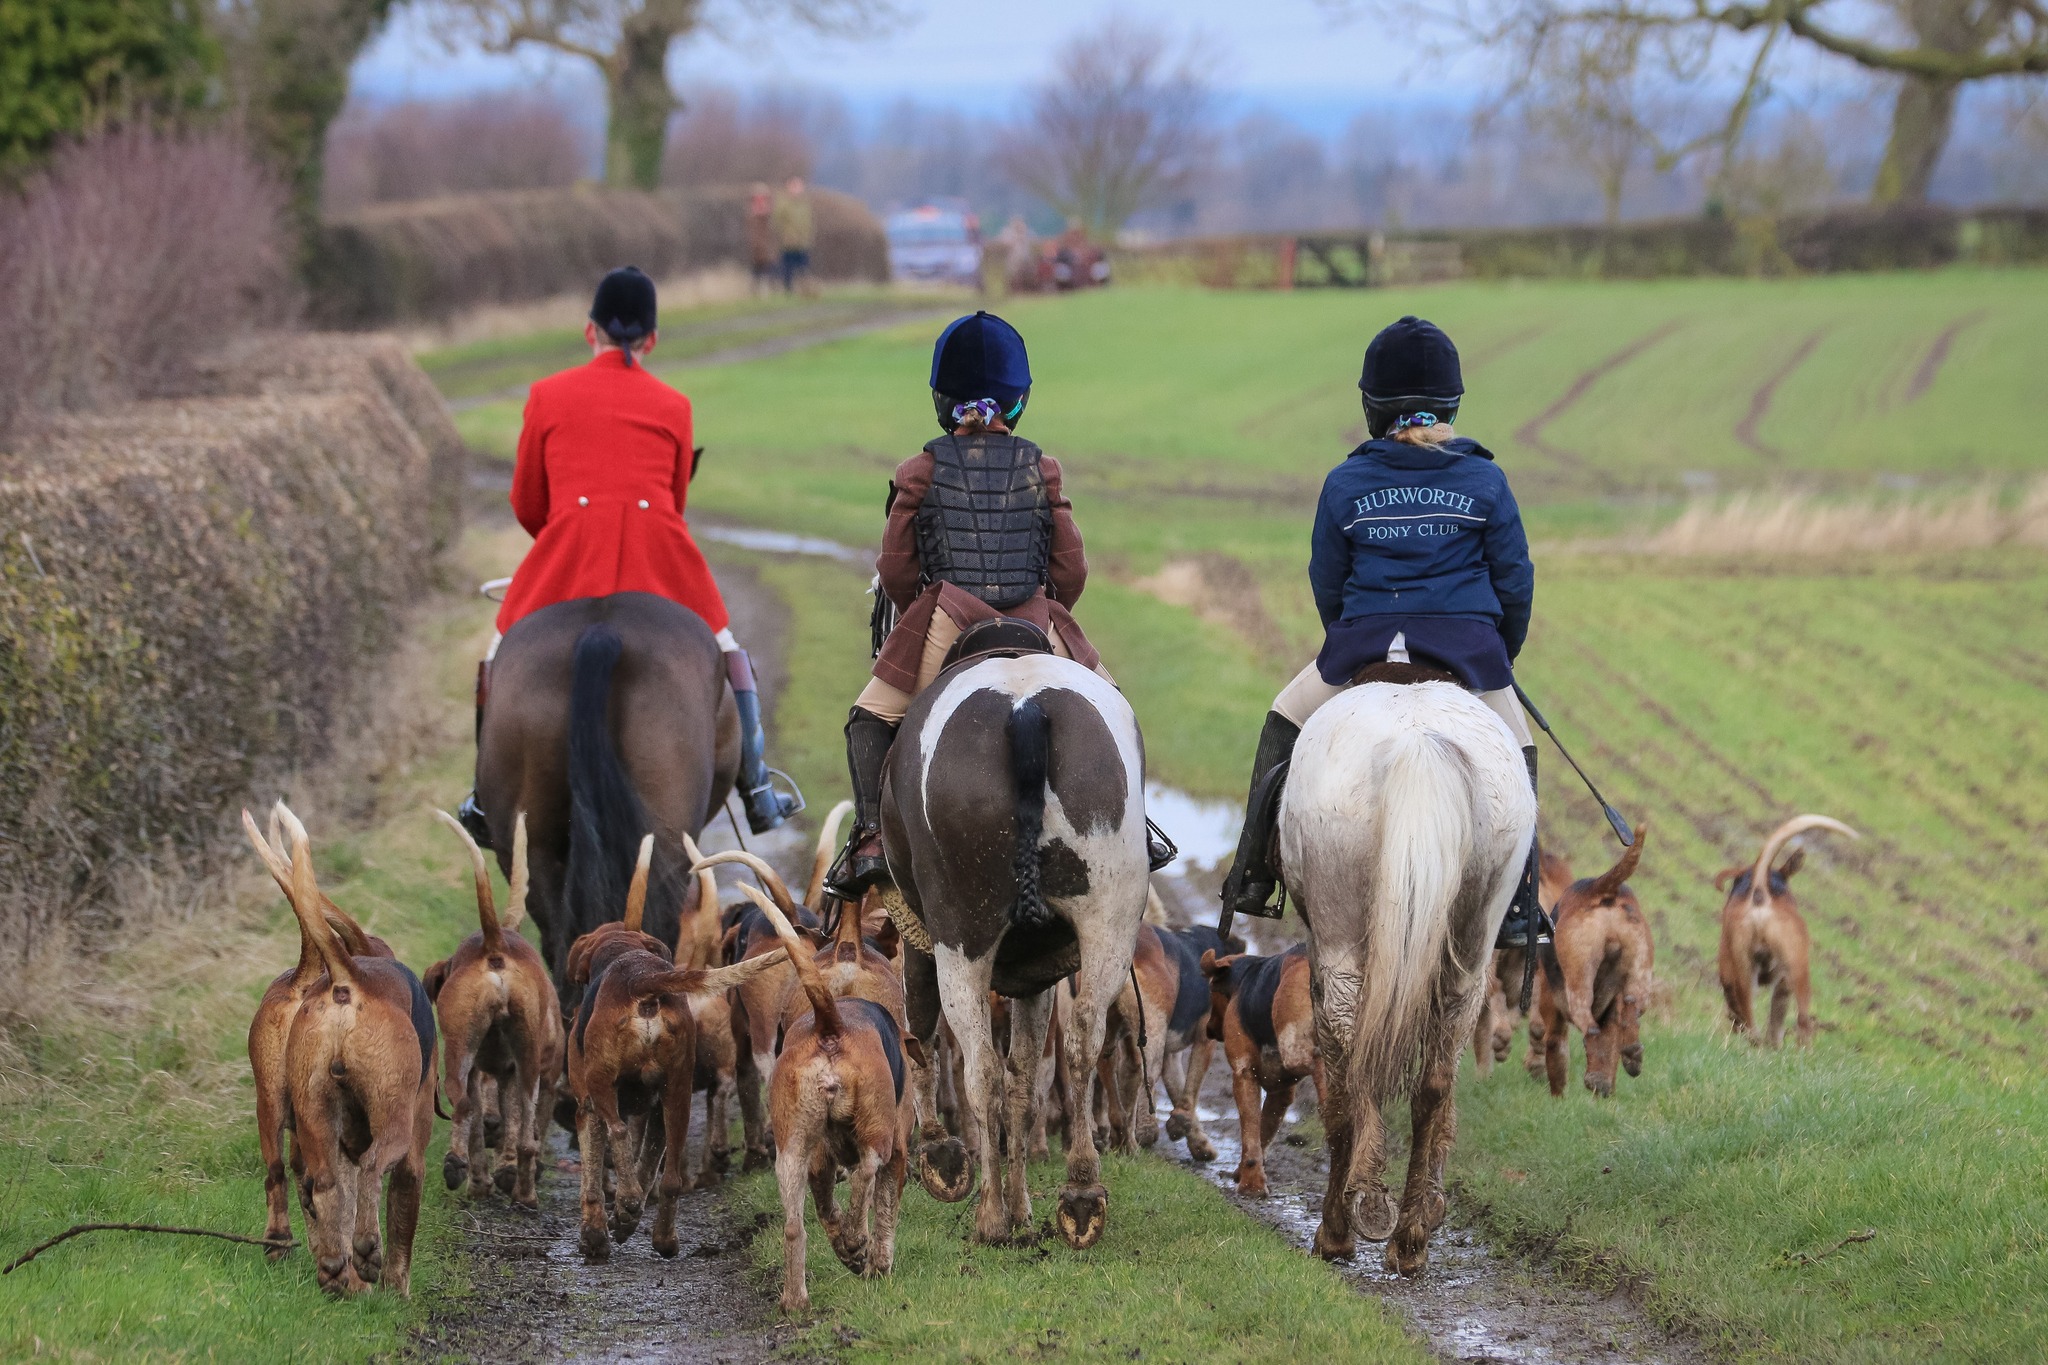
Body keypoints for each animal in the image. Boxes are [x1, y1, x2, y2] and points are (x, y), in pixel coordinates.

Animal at [884, 650, 1155, 1252]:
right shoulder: (1037, 979)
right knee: (1081, 1037)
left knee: (980, 1067)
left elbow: (923, 1037)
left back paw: (989, 1216)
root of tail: (1024, 709)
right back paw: (1080, 1192)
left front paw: (939, 1153)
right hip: (1108, 922)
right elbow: (1026, 1082)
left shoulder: (918, 934)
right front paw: (1025, 1208)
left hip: (962, 938)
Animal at [1277, 675, 1540, 1285]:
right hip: (1471, 952)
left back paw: (1353, 1216)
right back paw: (1411, 1235)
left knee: (1356, 1067)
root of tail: (1420, 742)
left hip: (1340, 941)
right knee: (1435, 1079)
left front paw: (1336, 1233)